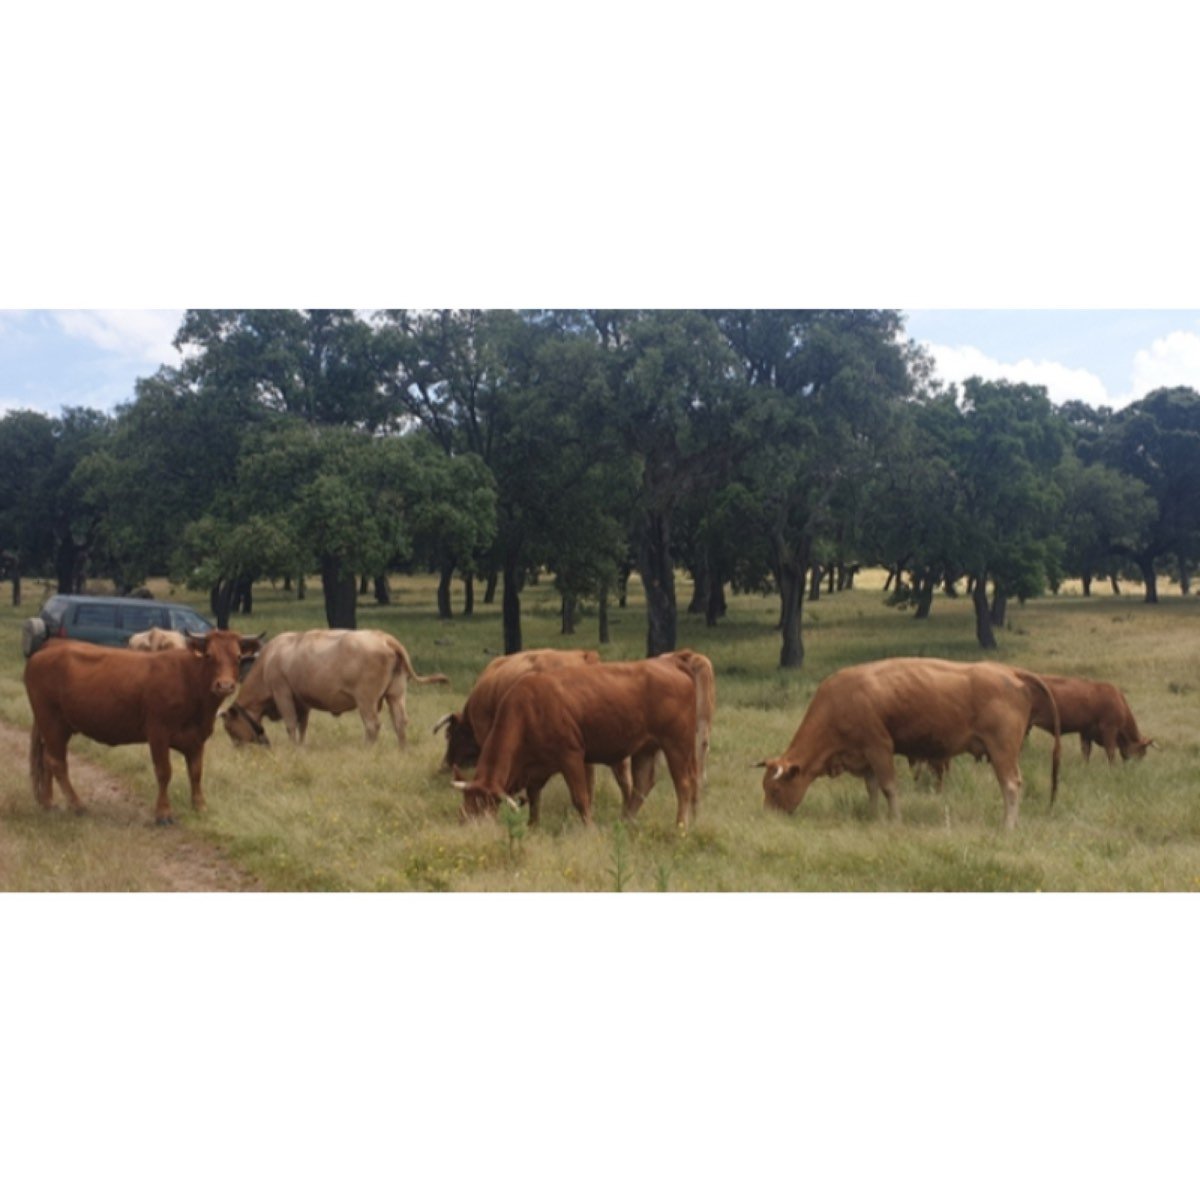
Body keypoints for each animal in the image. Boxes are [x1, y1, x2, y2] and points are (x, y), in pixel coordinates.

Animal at [24, 629, 264, 825]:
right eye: (209, 655)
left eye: (238, 657)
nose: (225, 685)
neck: (190, 683)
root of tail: (51, 646)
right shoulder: (158, 732)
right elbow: (164, 772)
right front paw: (163, 813)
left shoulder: (197, 738)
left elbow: (196, 773)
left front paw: (200, 807)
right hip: (52, 722)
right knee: (57, 763)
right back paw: (77, 805)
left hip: (54, 727)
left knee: (47, 760)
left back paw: (48, 803)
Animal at [220, 628, 449, 748]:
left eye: (229, 728)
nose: (238, 749)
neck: (269, 660)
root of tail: (385, 638)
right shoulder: (303, 701)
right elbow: (303, 725)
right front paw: (301, 747)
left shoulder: (282, 693)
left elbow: (291, 724)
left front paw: (293, 748)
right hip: (396, 695)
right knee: (400, 722)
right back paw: (402, 751)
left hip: (366, 700)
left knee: (372, 725)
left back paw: (367, 751)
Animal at [453, 655, 708, 828]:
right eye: (467, 801)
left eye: (484, 805)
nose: (468, 824)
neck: (529, 708)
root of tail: (671, 663)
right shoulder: (537, 768)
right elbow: (535, 798)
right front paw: (532, 826)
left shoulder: (571, 756)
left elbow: (580, 798)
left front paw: (590, 829)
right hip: (645, 748)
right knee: (642, 785)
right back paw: (624, 823)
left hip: (677, 745)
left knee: (684, 783)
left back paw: (680, 826)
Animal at [757, 657, 1061, 831]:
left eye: (775, 789)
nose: (769, 818)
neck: (839, 701)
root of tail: (1010, 672)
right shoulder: (864, 756)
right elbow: (872, 789)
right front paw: (873, 817)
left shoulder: (879, 747)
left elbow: (889, 787)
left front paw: (895, 820)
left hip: (1002, 751)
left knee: (1010, 785)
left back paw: (1007, 827)